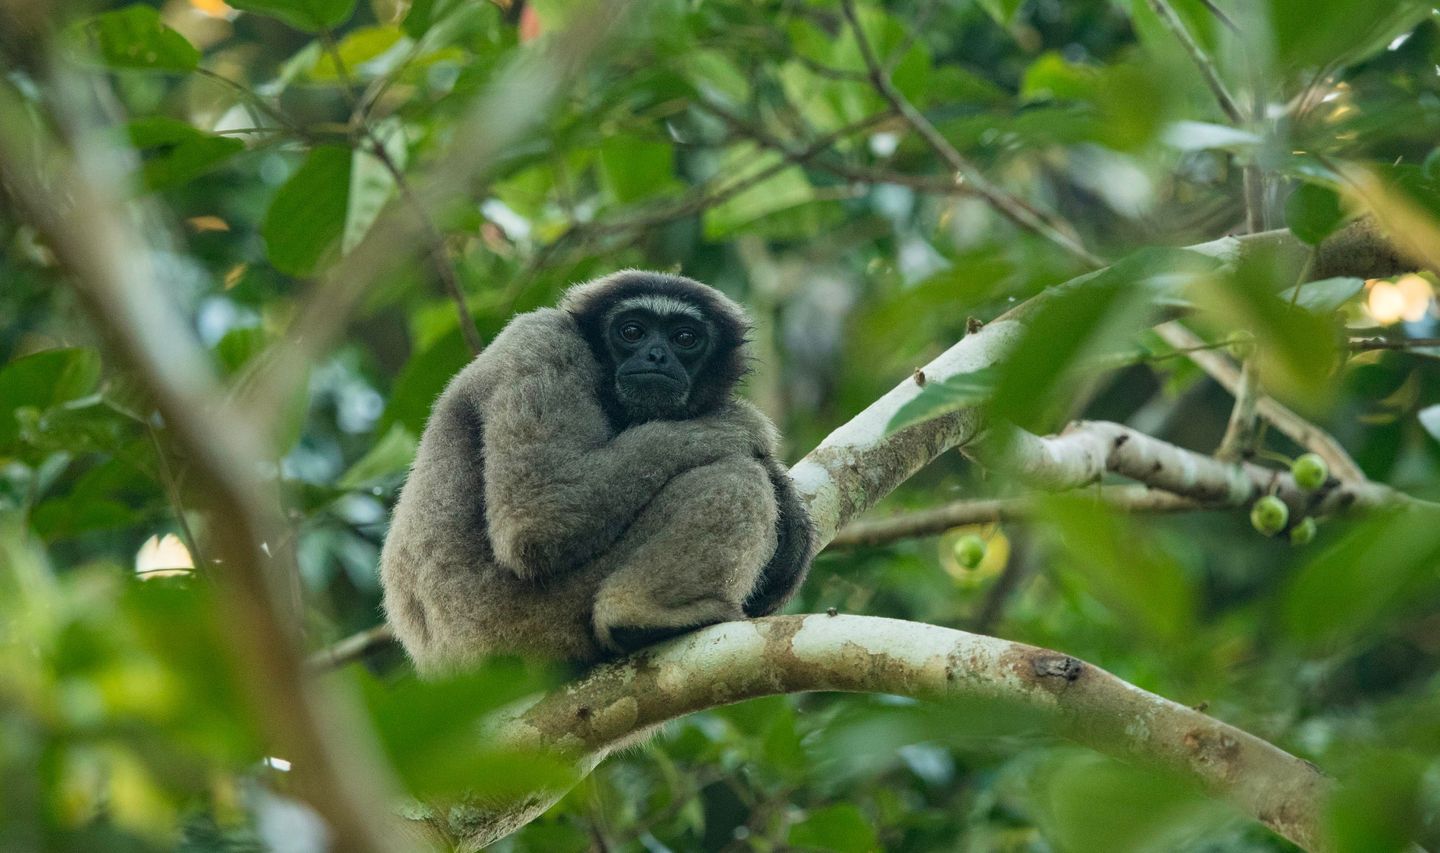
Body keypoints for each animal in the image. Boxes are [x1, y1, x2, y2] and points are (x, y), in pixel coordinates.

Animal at [378, 271, 813, 676]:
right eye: (632, 331)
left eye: (685, 338)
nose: (656, 355)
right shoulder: (544, 341)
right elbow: (539, 514)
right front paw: (743, 427)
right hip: (518, 622)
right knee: (734, 476)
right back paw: (641, 615)